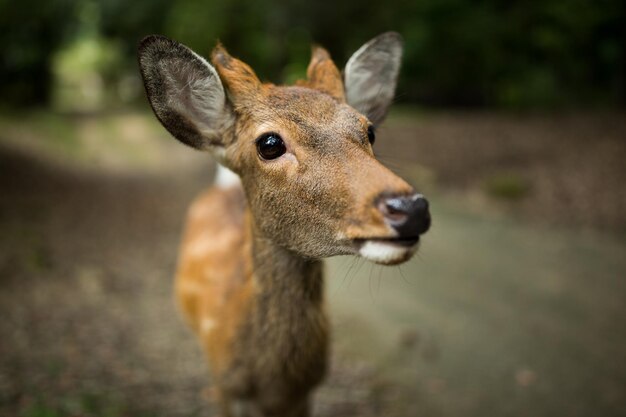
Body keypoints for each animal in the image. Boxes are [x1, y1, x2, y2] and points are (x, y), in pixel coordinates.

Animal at [136, 31, 428, 416]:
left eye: (370, 131)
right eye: (270, 143)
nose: (411, 208)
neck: (272, 383)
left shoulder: (303, 395)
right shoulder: (228, 387)